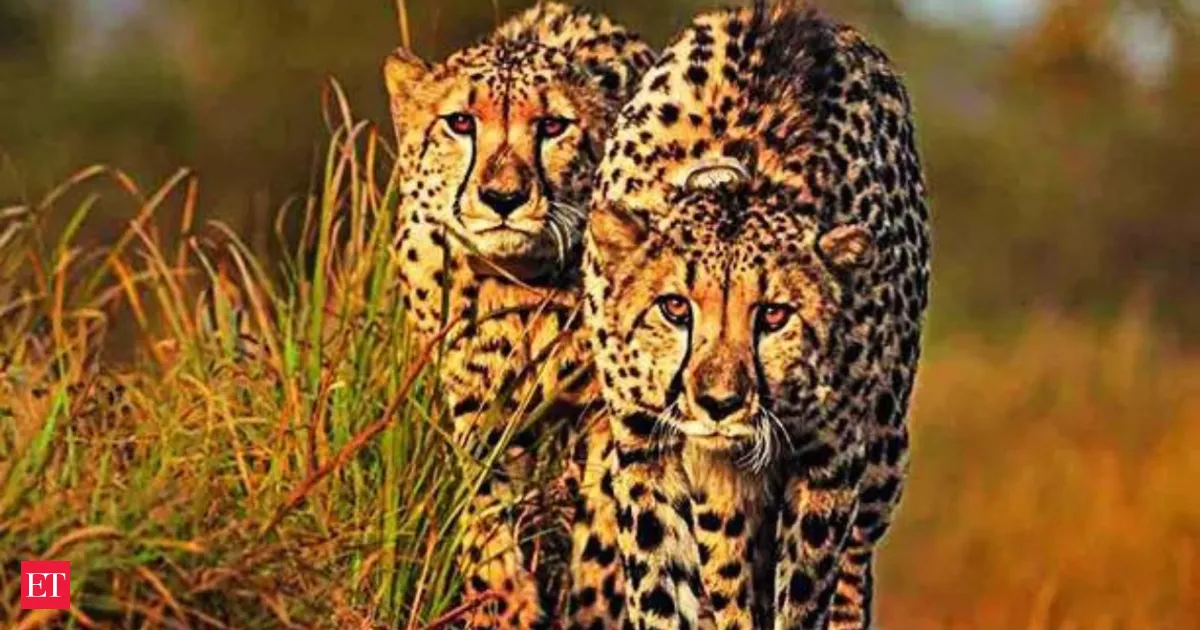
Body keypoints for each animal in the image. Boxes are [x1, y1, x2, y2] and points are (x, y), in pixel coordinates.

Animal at [382, 3, 654, 628]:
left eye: (553, 126)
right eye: (460, 122)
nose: (502, 198)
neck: (523, 288)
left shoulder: (610, 411)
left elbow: (607, 516)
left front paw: (593, 603)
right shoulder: (476, 404)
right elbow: (480, 500)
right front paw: (502, 597)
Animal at [580, 2, 931, 629]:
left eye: (773, 316)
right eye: (674, 308)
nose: (719, 402)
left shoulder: (830, 465)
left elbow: (805, 593)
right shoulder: (646, 450)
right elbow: (662, 587)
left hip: (883, 459)